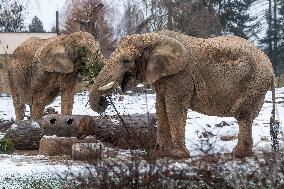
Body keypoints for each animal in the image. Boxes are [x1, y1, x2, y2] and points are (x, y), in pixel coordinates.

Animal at [89, 29, 276, 159]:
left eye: (126, 61)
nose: (104, 102)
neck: (152, 38)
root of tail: (271, 67)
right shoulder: (164, 77)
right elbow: (160, 107)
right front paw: (160, 155)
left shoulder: (181, 75)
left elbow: (174, 107)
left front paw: (179, 155)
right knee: (246, 116)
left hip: (255, 83)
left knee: (242, 115)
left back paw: (238, 154)